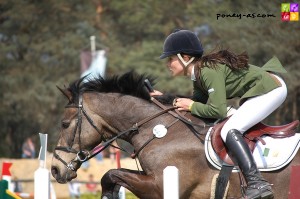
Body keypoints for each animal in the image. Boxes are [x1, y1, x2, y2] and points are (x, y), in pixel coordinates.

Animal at [51, 70, 300, 198]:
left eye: (64, 124)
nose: (54, 169)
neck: (160, 130)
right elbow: (112, 175)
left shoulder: (160, 186)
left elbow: (111, 174)